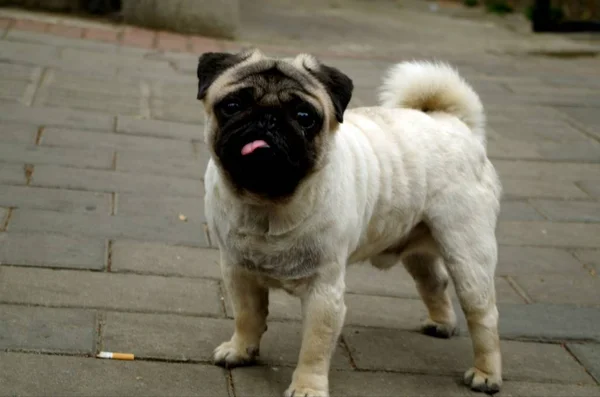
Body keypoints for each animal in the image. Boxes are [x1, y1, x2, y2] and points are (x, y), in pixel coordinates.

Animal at [197, 49, 502, 396]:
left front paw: (307, 388)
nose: (268, 118)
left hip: (467, 252)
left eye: (305, 116)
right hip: (418, 245)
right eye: (232, 106)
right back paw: (441, 324)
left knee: (483, 314)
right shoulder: (238, 273)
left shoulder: (323, 293)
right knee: (433, 281)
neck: (266, 203)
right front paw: (240, 351)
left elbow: (314, 348)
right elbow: (247, 316)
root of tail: (455, 123)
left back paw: (486, 374)